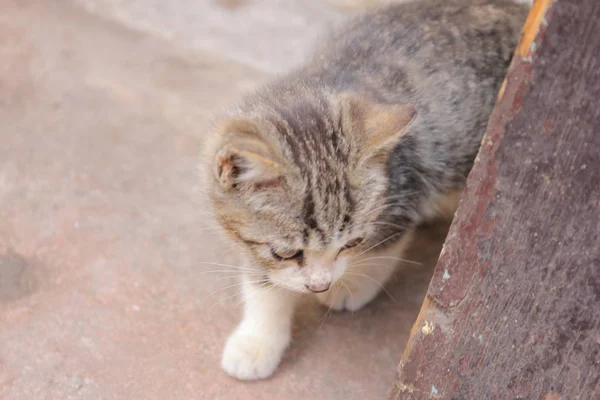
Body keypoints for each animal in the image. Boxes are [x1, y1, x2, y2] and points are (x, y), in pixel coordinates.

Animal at [204, 0, 528, 380]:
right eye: (286, 253)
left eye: (352, 243)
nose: (320, 285)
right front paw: (256, 341)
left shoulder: (404, 189)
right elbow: (264, 281)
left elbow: (383, 247)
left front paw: (353, 286)